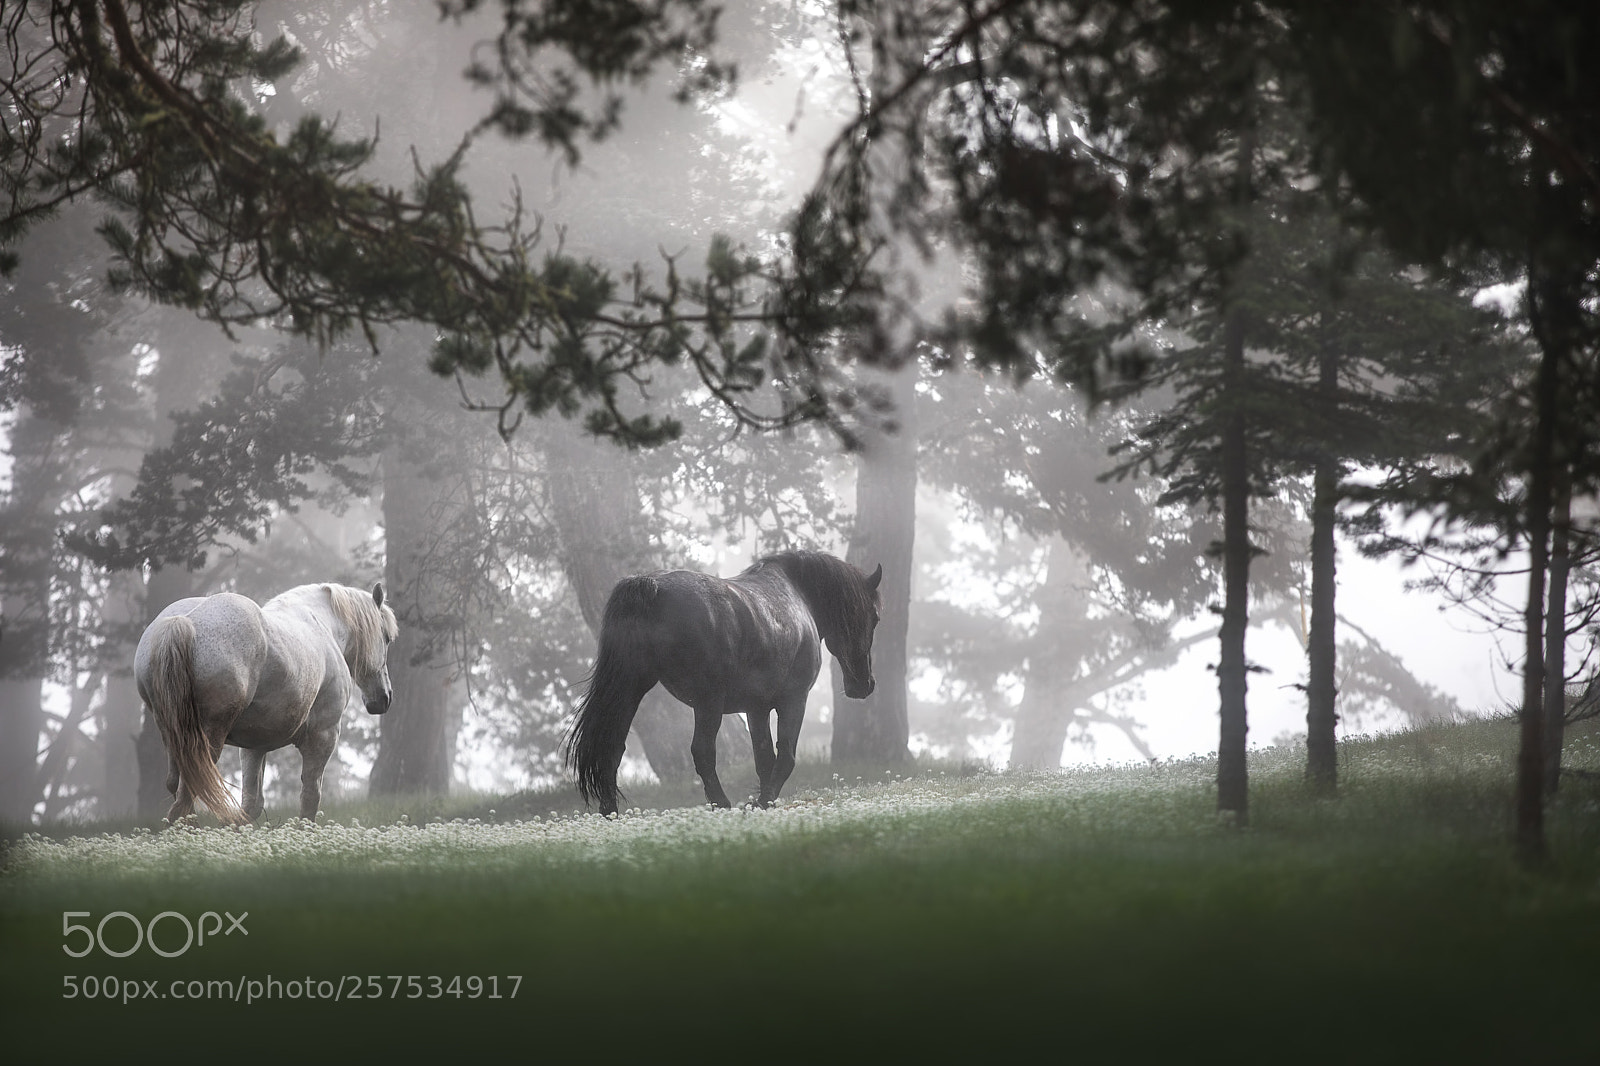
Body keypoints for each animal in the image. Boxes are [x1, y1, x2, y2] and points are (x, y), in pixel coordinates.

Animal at [134, 582, 398, 825]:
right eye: (386, 638)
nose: (384, 698)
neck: (322, 624)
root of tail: (184, 621)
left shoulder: (254, 747)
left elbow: (252, 804)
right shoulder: (323, 736)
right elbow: (310, 796)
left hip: (173, 736)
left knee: (177, 787)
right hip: (207, 737)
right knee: (185, 795)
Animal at [565, 549, 883, 815]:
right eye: (876, 617)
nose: (864, 684)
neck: (797, 596)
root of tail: (651, 586)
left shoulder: (756, 708)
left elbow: (764, 757)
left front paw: (763, 800)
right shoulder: (794, 700)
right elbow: (786, 756)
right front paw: (764, 801)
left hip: (630, 690)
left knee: (611, 745)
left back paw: (611, 812)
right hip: (708, 703)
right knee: (702, 751)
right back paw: (721, 803)